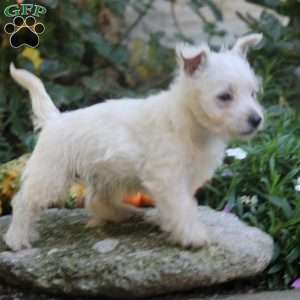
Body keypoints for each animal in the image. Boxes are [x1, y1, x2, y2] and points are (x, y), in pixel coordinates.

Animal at [3, 33, 264, 251]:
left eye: (253, 93)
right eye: (224, 96)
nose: (257, 119)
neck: (189, 123)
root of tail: (55, 119)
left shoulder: (185, 178)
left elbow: (180, 205)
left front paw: (170, 224)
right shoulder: (168, 178)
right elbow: (183, 206)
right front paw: (192, 236)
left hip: (110, 174)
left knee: (97, 201)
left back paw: (125, 212)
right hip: (50, 177)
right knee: (23, 202)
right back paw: (17, 238)